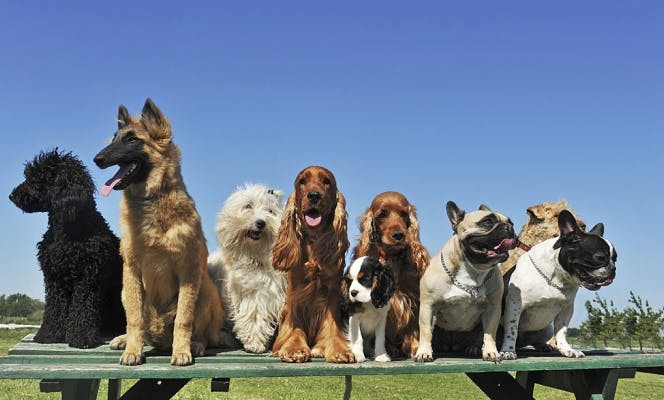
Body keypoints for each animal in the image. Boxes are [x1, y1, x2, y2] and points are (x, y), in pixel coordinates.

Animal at [93, 99, 223, 366]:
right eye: (114, 138)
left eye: (132, 139)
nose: (97, 159)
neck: (151, 199)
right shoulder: (131, 271)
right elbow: (134, 320)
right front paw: (132, 350)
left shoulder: (189, 271)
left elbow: (183, 318)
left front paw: (181, 350)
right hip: (125, 292)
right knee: (141, 325)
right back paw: (126, 340)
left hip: (206, 290)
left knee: (202, 332)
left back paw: (196, 344)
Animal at [416, 200, 520, 362]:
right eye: (487, 222)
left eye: (511, 223)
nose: (509, 228)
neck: (473, 270)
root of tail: (453, 346)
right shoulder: (428, 306)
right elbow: (426, 331)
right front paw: (423, 352)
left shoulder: (492, 308)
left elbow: (489, 333)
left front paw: (491, 352)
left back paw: (474, 348)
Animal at [504, 211, 616, 360]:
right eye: (600, 257)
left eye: (615, 259)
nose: (613, 269)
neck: (555, 277)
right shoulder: (515, 305)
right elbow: (512, 329)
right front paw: (507, 351)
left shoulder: (566, 309)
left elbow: (561, 331)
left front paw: (566, 349)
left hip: (546, 329)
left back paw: (544, 346)